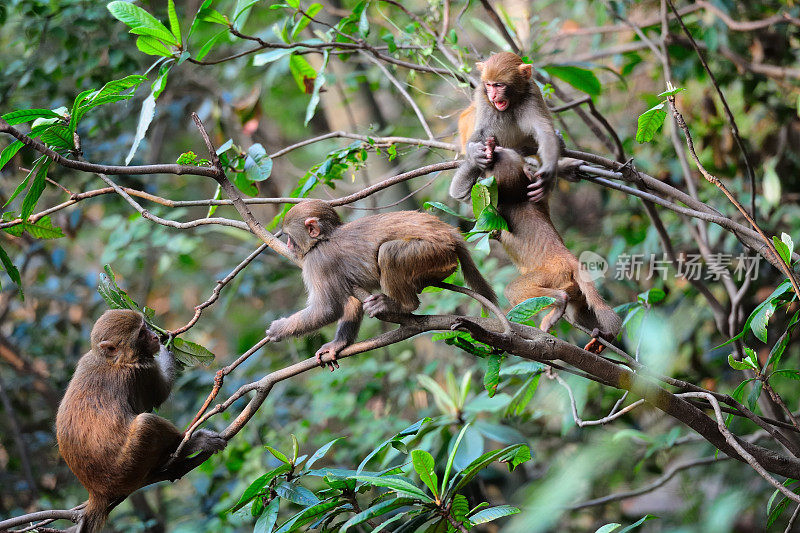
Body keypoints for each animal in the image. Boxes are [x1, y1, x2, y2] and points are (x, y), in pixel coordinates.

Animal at [55, 308, 225, 532]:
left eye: (146, 327)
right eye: (142, 333)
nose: (154, 336)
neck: (111, 360)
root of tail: (96, 492)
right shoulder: (143, 372)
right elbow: (161, 393)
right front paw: (166, 350)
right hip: (129, 470)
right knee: (146, 423)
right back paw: (189, 445)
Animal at [266, 197, 496, 368]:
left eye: (290, 237)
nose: (288, 245)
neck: (323, 238)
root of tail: (450, 233)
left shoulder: (317, 262)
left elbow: (327, 309)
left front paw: (278, 330)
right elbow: (351, 301)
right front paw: (338, 344)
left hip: (433, 252)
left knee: (389, 252)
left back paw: (402, 304)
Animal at [454, 139, 620, 352]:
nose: (495, 149)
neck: (518, 197)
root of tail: (570, 260)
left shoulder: (494, 207)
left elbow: (462, 195)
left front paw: (476, 156)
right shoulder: (539, 198)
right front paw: (567, 167)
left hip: (553, 275)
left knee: (517, 290)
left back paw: (559, 303)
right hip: (575, 287)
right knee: (582, 312)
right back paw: (603, 337)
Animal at [456, 51, 564, 202]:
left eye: (499, 85)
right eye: (489, 85)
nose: (493, 96)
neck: (511, 103)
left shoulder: (532, 94)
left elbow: (543, 130)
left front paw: (548, 170)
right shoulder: (483, 98)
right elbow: (481, 131)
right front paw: (474, 154)